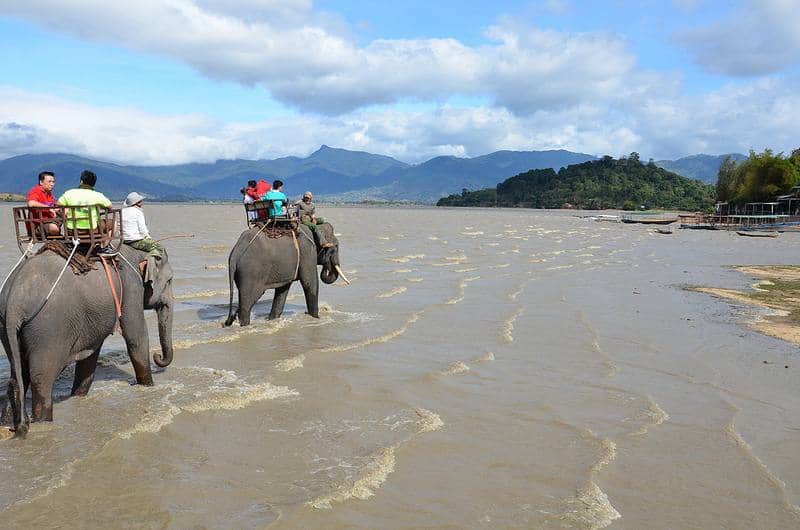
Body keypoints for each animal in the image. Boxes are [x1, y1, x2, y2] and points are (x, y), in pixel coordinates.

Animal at [0, 243, 174, 434]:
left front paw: (78, 395)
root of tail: (15, 302)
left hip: (8, 327)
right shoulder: (131, 287)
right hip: (48, 329)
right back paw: (43, 421)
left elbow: (91, 352)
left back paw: (8, 424)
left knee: (18, 373)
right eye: (170, 281)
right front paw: (149, 386)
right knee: (41, 377)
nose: (158, 357)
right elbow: (136, 336)